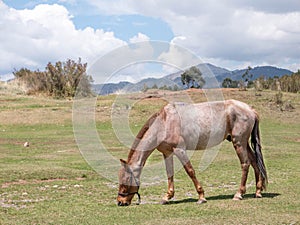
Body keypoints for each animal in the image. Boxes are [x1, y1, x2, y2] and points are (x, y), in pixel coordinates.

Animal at [116, 99, 268, 207]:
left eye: (125, 179)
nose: (120, 201)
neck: (165, 123)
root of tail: (250, 109)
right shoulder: (167, 153)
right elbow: (169, 174)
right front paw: (167, 197)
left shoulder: (180, 150)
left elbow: (190, 171)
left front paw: (201, 197)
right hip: (244, 143)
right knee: (254, 162)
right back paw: (258, 191)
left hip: (239, 143)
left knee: (245, 164)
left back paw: (239, 194)